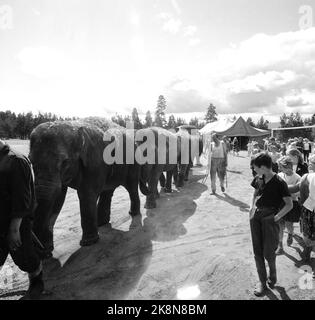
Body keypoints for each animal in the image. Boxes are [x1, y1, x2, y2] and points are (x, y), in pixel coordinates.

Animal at [28, 117, 149, 258]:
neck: (73, 126)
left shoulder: (94, 162)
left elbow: (86, 194)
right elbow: (58, 198)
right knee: (108, 191)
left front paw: (89, 243)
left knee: (131, 188)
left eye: (64, 162)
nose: (42, 252)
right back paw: (101, 223)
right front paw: (47, 250)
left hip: (132, 165)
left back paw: (132, 214)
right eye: (30, 161)